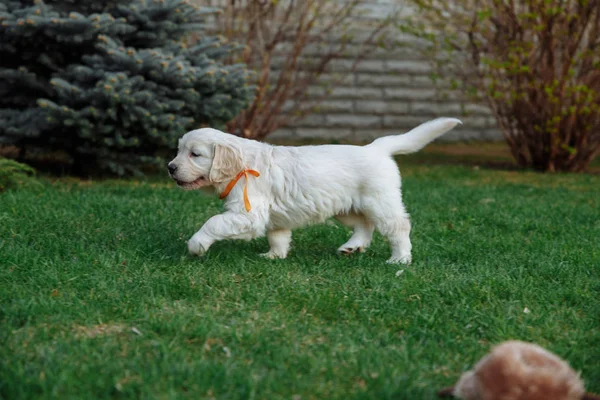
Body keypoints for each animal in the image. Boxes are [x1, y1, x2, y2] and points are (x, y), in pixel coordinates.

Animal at [171, 117, 462, 264]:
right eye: (179, 150)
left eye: (195, 154)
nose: (170, 167)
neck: (243, 165)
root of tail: (376, 148)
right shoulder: (274, 216)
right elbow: (278, 236)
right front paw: (274, 256)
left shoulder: (248, 214)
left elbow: (214, 222)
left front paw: (196, 245)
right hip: (345, 206)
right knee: (364, 225)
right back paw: (351, 247)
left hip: (380, 202)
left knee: (398, 227)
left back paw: (400, 259)